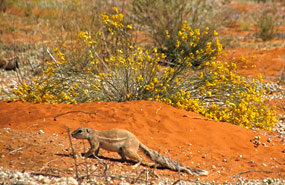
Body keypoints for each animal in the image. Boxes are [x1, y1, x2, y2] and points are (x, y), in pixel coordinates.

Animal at [71, 128, 209, 176]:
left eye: (80, 131)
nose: (72, 134)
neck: (92, 132)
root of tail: (138, 141)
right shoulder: (96, 143)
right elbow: (96, 151)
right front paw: (94, 157)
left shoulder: (94, 141)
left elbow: (92, 150)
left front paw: (83, 156)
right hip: (122, 150)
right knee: (124, 158)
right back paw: (119, 160)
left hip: (128, 150)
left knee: (139, 159)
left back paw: (135, 165)